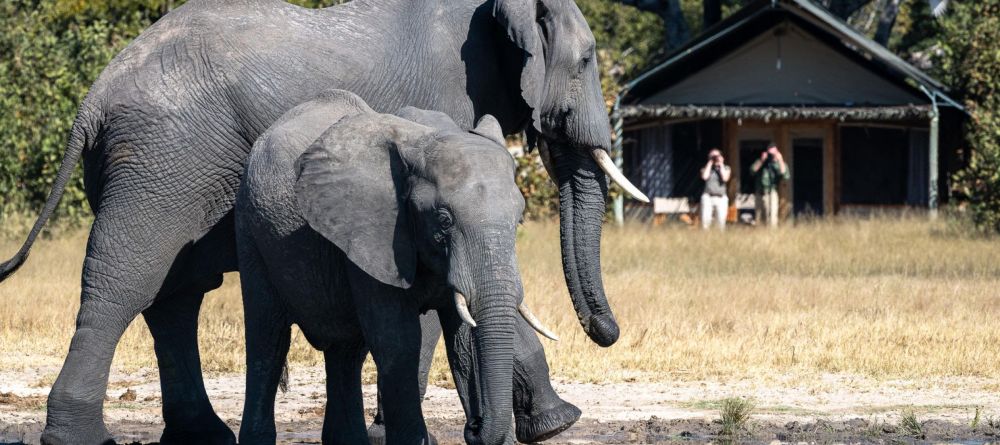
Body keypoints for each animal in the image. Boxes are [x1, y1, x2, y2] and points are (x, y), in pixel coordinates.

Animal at [236, 91, 540, 444]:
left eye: (518, 218)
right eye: (444, 220)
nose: (475, 426)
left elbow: (464, 339)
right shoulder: (371, 231)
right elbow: (399, 342)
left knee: (346, 352)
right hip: (250, 230)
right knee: (268, 341)